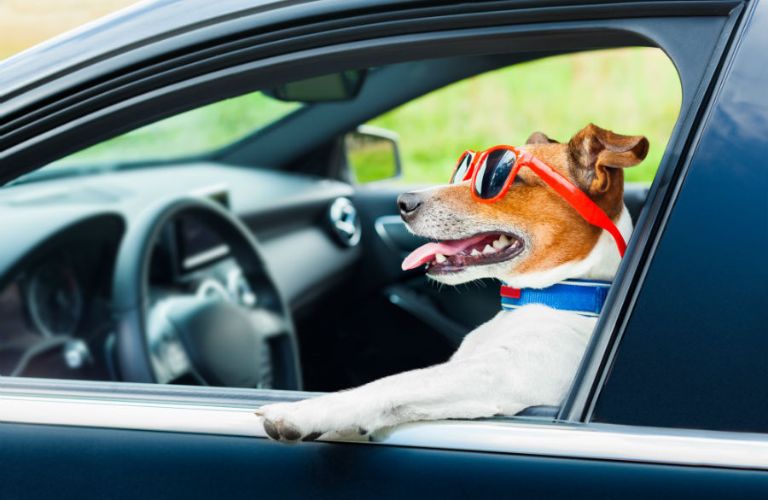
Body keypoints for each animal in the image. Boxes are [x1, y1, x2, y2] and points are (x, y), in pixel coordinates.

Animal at [256, 124, 648, 442]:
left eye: (501, 179)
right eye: (465, 169)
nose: (403, 201)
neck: (550, 296)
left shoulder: (501, 375)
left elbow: (394, 381)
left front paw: (302, 411)